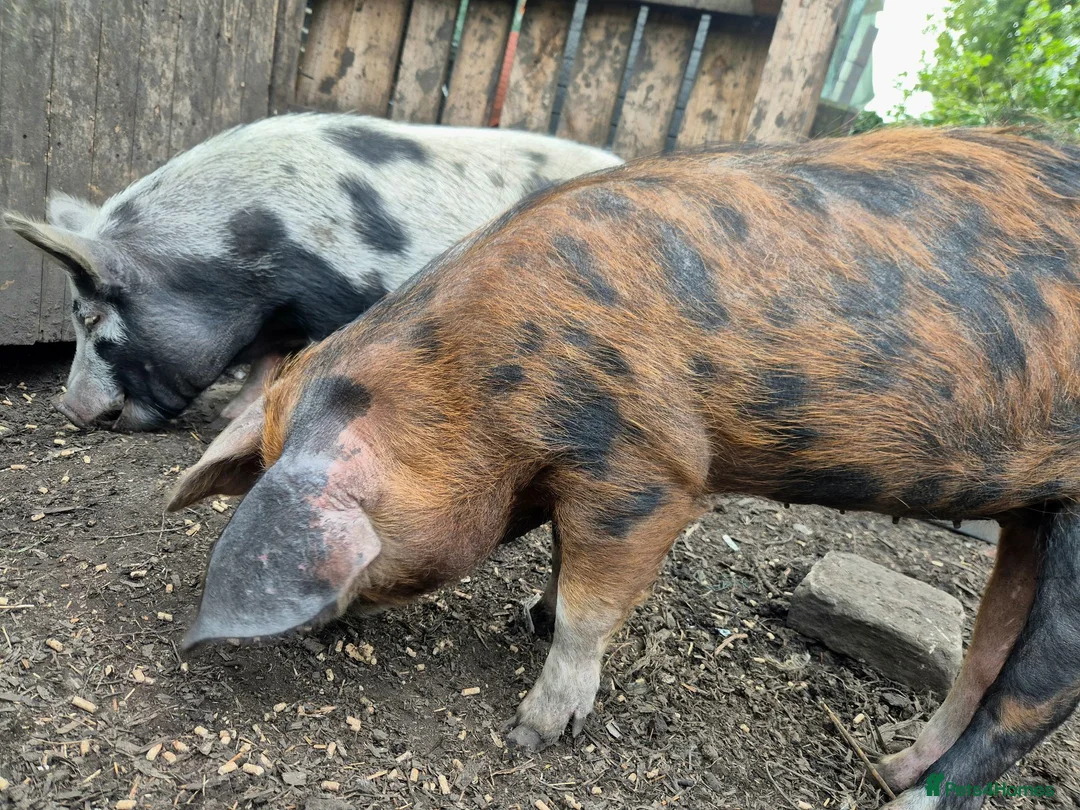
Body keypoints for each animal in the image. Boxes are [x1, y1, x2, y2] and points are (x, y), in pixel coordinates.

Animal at [3, 114, 621, 431]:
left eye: (91, 316)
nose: (66, 408)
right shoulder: (277, 309)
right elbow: (267, 356)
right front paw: (232, 414)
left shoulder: (331, 296)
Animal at [168, 127, 1080, 810]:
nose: (314, 623)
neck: (476, 383)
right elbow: (561, 565)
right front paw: (528, 618)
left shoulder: (646, 469)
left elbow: (591, 602)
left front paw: (530, 733)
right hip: (1032, 510)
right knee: (986, 653)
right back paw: (890, 768)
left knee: (1033, 692)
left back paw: (903, 799)